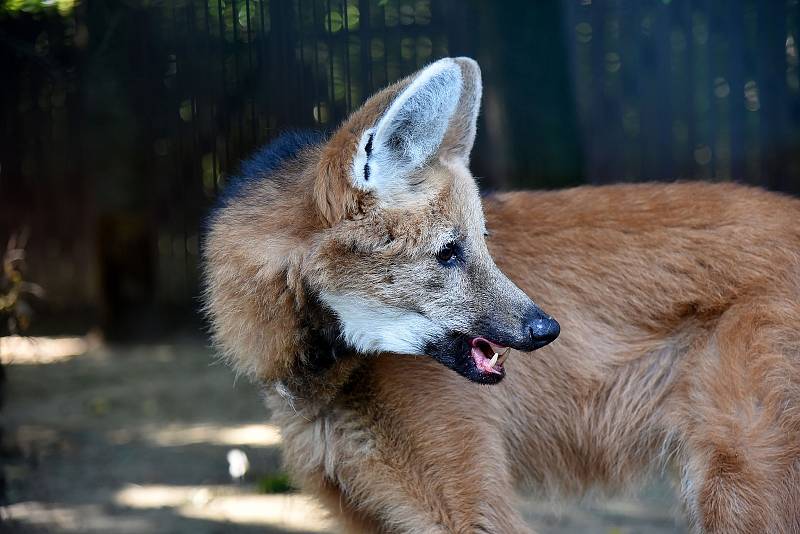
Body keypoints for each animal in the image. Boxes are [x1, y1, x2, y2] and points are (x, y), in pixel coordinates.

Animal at [203, 56, 800, 532]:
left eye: (481, 245)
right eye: (449, 252)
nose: (547, 329)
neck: (327, 378)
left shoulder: (469, 505)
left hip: (734, 481)